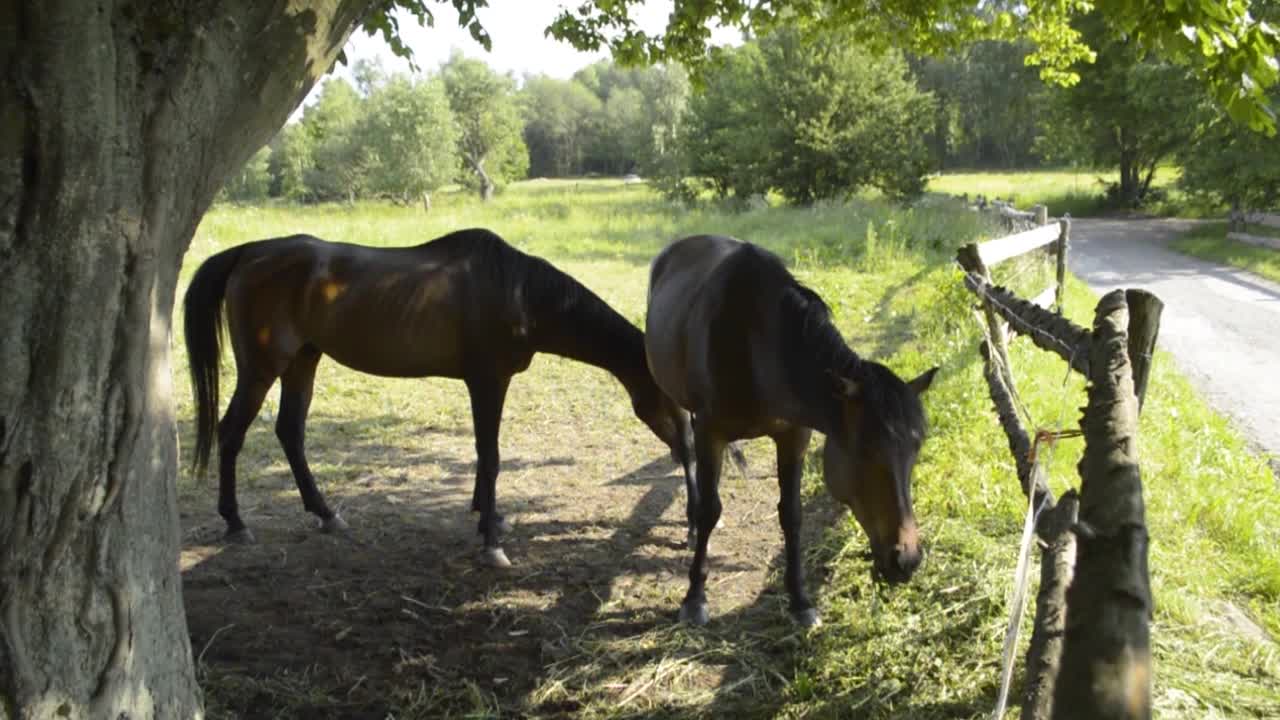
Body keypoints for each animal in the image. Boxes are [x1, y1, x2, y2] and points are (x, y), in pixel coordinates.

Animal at [183, 228, 701, 567]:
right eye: (668, 398)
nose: (688, 448)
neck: (516, 291)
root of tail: (250, 254)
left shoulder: (487, 383)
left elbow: (484, 454)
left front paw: (489, 517)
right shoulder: (488, 380)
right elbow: (490, 456)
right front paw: (491, 542)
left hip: (303, 362)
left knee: (290, 432)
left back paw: (327, 514)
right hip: (262, 369)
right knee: (231, 433)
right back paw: (235, 522)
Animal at [644, 234, 938, 627]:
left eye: (916, 451)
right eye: (866, 451)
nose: (907, 559)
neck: (755, 346)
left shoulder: (794, 436)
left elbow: (792, 514)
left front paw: (799, 600)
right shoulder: (710, 432)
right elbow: (709, 509)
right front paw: (695, 597)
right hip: (675, 399)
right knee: (687, 451)